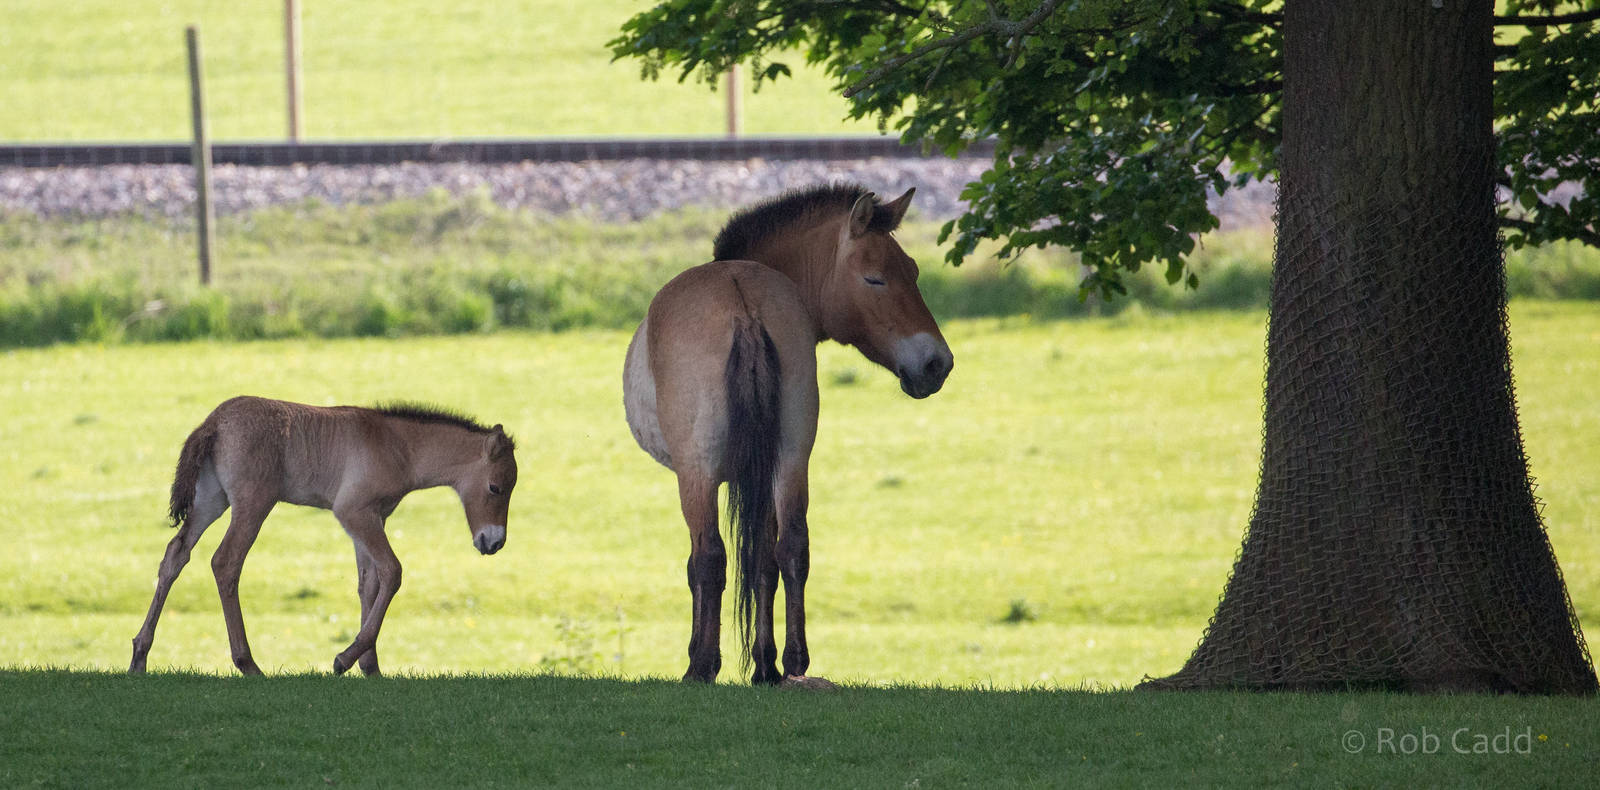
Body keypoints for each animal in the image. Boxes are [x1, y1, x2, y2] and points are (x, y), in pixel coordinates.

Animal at [128, 396, 518, 677]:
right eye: (495, 487)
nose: (494, 542)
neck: (399, 446)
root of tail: (213, 423)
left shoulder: (373, 518)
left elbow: (369, 583)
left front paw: (370, 667)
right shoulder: (353, 512)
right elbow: (392, 572)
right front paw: (345, 659)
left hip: (211, 499)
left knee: (176, 554)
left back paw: (139, 656)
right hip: (253, 503)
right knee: (226, 562)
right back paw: (248, 664)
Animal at [623, 183, 954, 686]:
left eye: (910, 273)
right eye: (876, 279)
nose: (937, 364)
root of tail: (743, 303)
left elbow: (711, 563)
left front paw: (709, 657)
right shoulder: (761, 475)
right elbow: (765, 560)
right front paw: (765, 663)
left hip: (699, 472)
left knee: (710, 558)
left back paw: (701, 667)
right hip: (793, 456)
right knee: (793, 547)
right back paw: (793, 662)